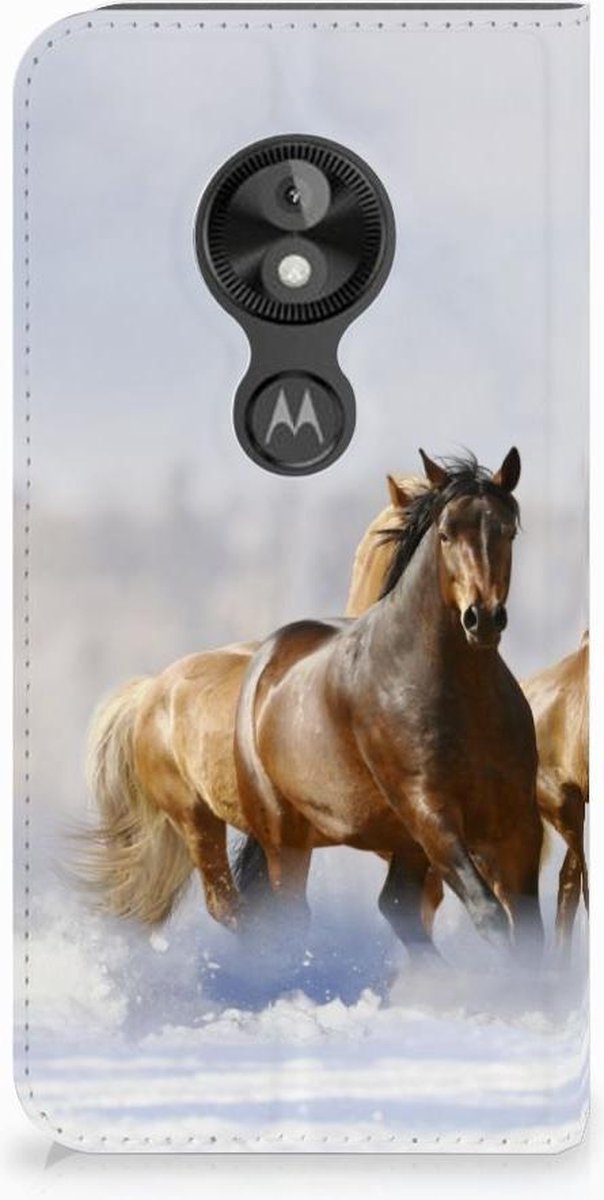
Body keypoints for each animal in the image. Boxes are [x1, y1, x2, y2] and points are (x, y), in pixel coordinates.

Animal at [233, 449, 544, 958]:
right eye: (445, 533)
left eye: (507, 531)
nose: (482, 618)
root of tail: (267, 659)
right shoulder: (431, 814)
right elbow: (490, 915)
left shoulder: (517, 821)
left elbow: (531, 932)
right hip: (285, 836)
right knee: (291, 917)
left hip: (402, 844)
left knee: (397, 906)